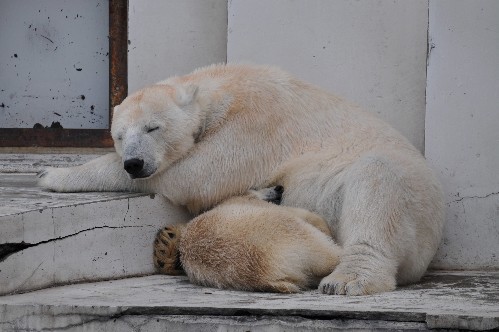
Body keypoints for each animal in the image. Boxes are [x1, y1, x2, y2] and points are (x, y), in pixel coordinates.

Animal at [39, 63, 446, 296]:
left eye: (152, 127)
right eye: (120, 135)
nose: (134, 163)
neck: (221, 84)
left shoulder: (256, 120)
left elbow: (197, 174)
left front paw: (53, 174)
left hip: (416, 197)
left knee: (378, 182)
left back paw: (347, 279)